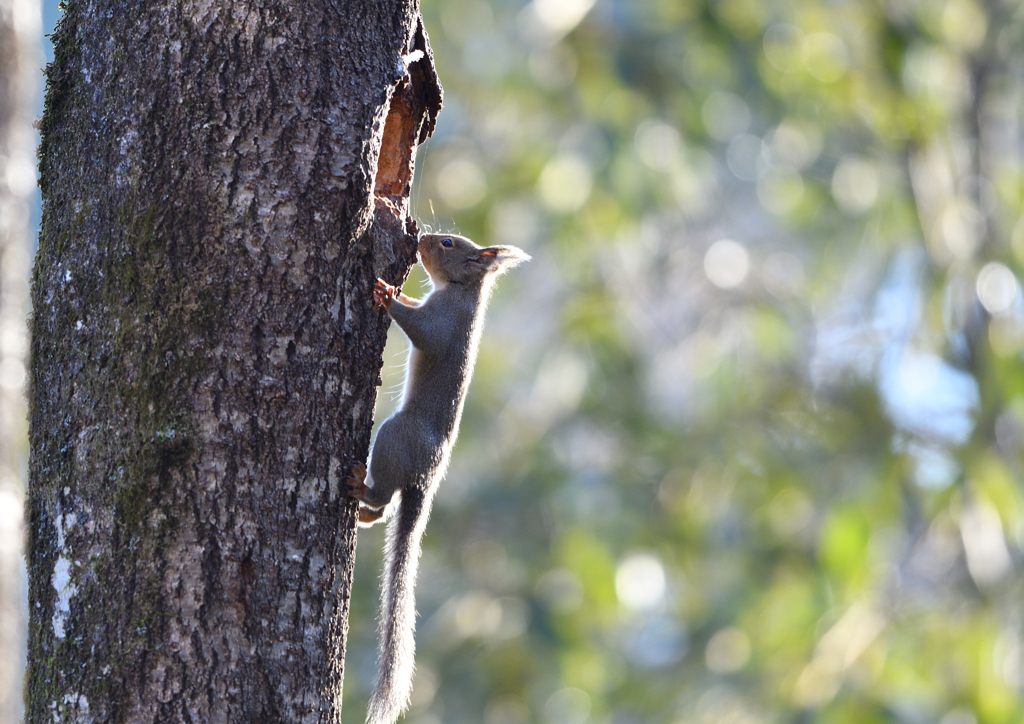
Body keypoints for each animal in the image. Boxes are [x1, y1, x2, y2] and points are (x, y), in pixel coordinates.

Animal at [348, 232, 532, 724]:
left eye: (448, 243)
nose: (423, 238)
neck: (463, 292)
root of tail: (425, 479)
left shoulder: (442, 324)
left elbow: (418, 327)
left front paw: (385, 291)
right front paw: (400, 289)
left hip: (393, 437)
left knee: (385, 497)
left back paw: (361, 490)